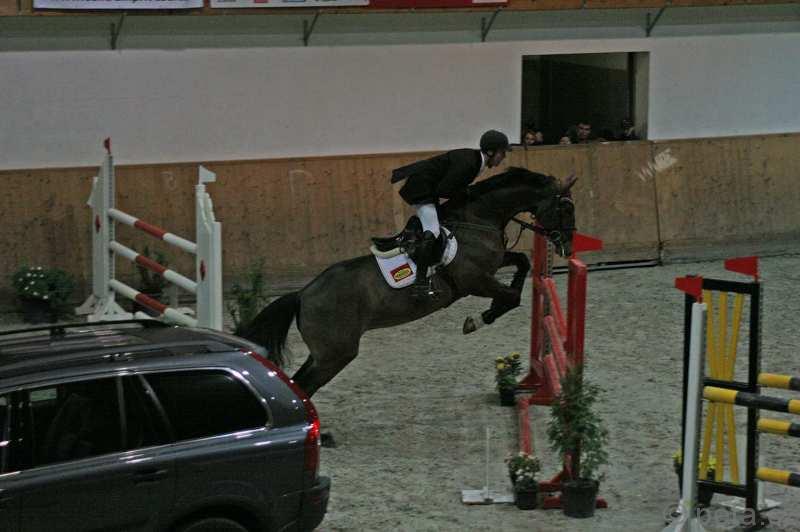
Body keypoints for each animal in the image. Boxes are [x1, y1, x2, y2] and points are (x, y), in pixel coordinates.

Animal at [242, 167, 577, 398]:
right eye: (565, 208)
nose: (567, 246)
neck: (477, 219)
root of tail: (302, 294)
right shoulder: (475, 280)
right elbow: (511, 296)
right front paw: (480, 318)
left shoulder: (493, 265)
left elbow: (522, 263)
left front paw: (487, 312)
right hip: (336, 354)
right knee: (305, 385)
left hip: (324, 352)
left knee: (300, 383)